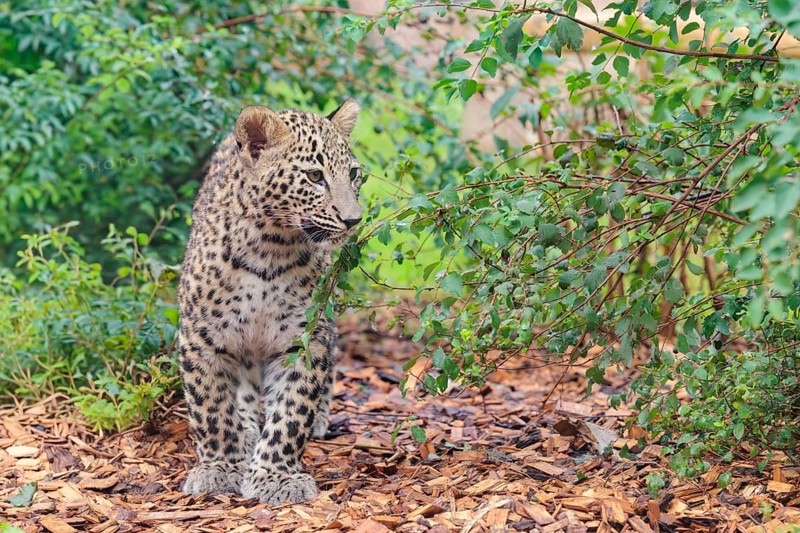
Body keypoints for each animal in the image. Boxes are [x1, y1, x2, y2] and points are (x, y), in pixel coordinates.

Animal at [177, 100, 363, 504]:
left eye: (355, 174)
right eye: (314, 176)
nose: (354, 219)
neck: (271, 249)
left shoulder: (303, 339)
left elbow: (292, 411)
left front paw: (276, 475)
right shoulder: (201, 337)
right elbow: (212, 407)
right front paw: (220, 467)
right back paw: (246, 429)